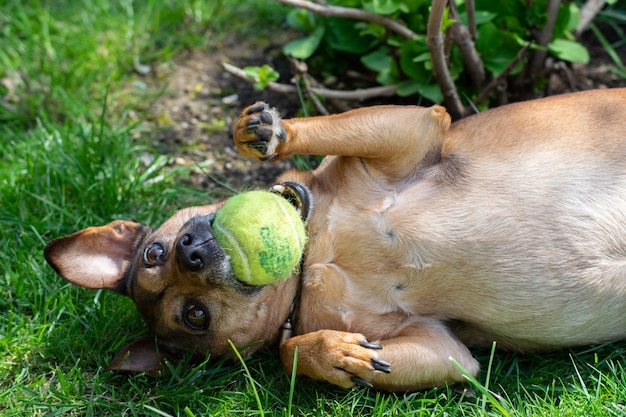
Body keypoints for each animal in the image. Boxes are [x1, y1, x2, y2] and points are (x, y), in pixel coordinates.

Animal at [44, 88, 624, 390]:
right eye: (194, 316)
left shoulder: (413, 130)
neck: (315, 251)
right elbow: (289, 351)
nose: (189, 252)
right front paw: (334, 354)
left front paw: (267, 133)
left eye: (155, 251)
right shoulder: (443, 348)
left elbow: (331, 127)